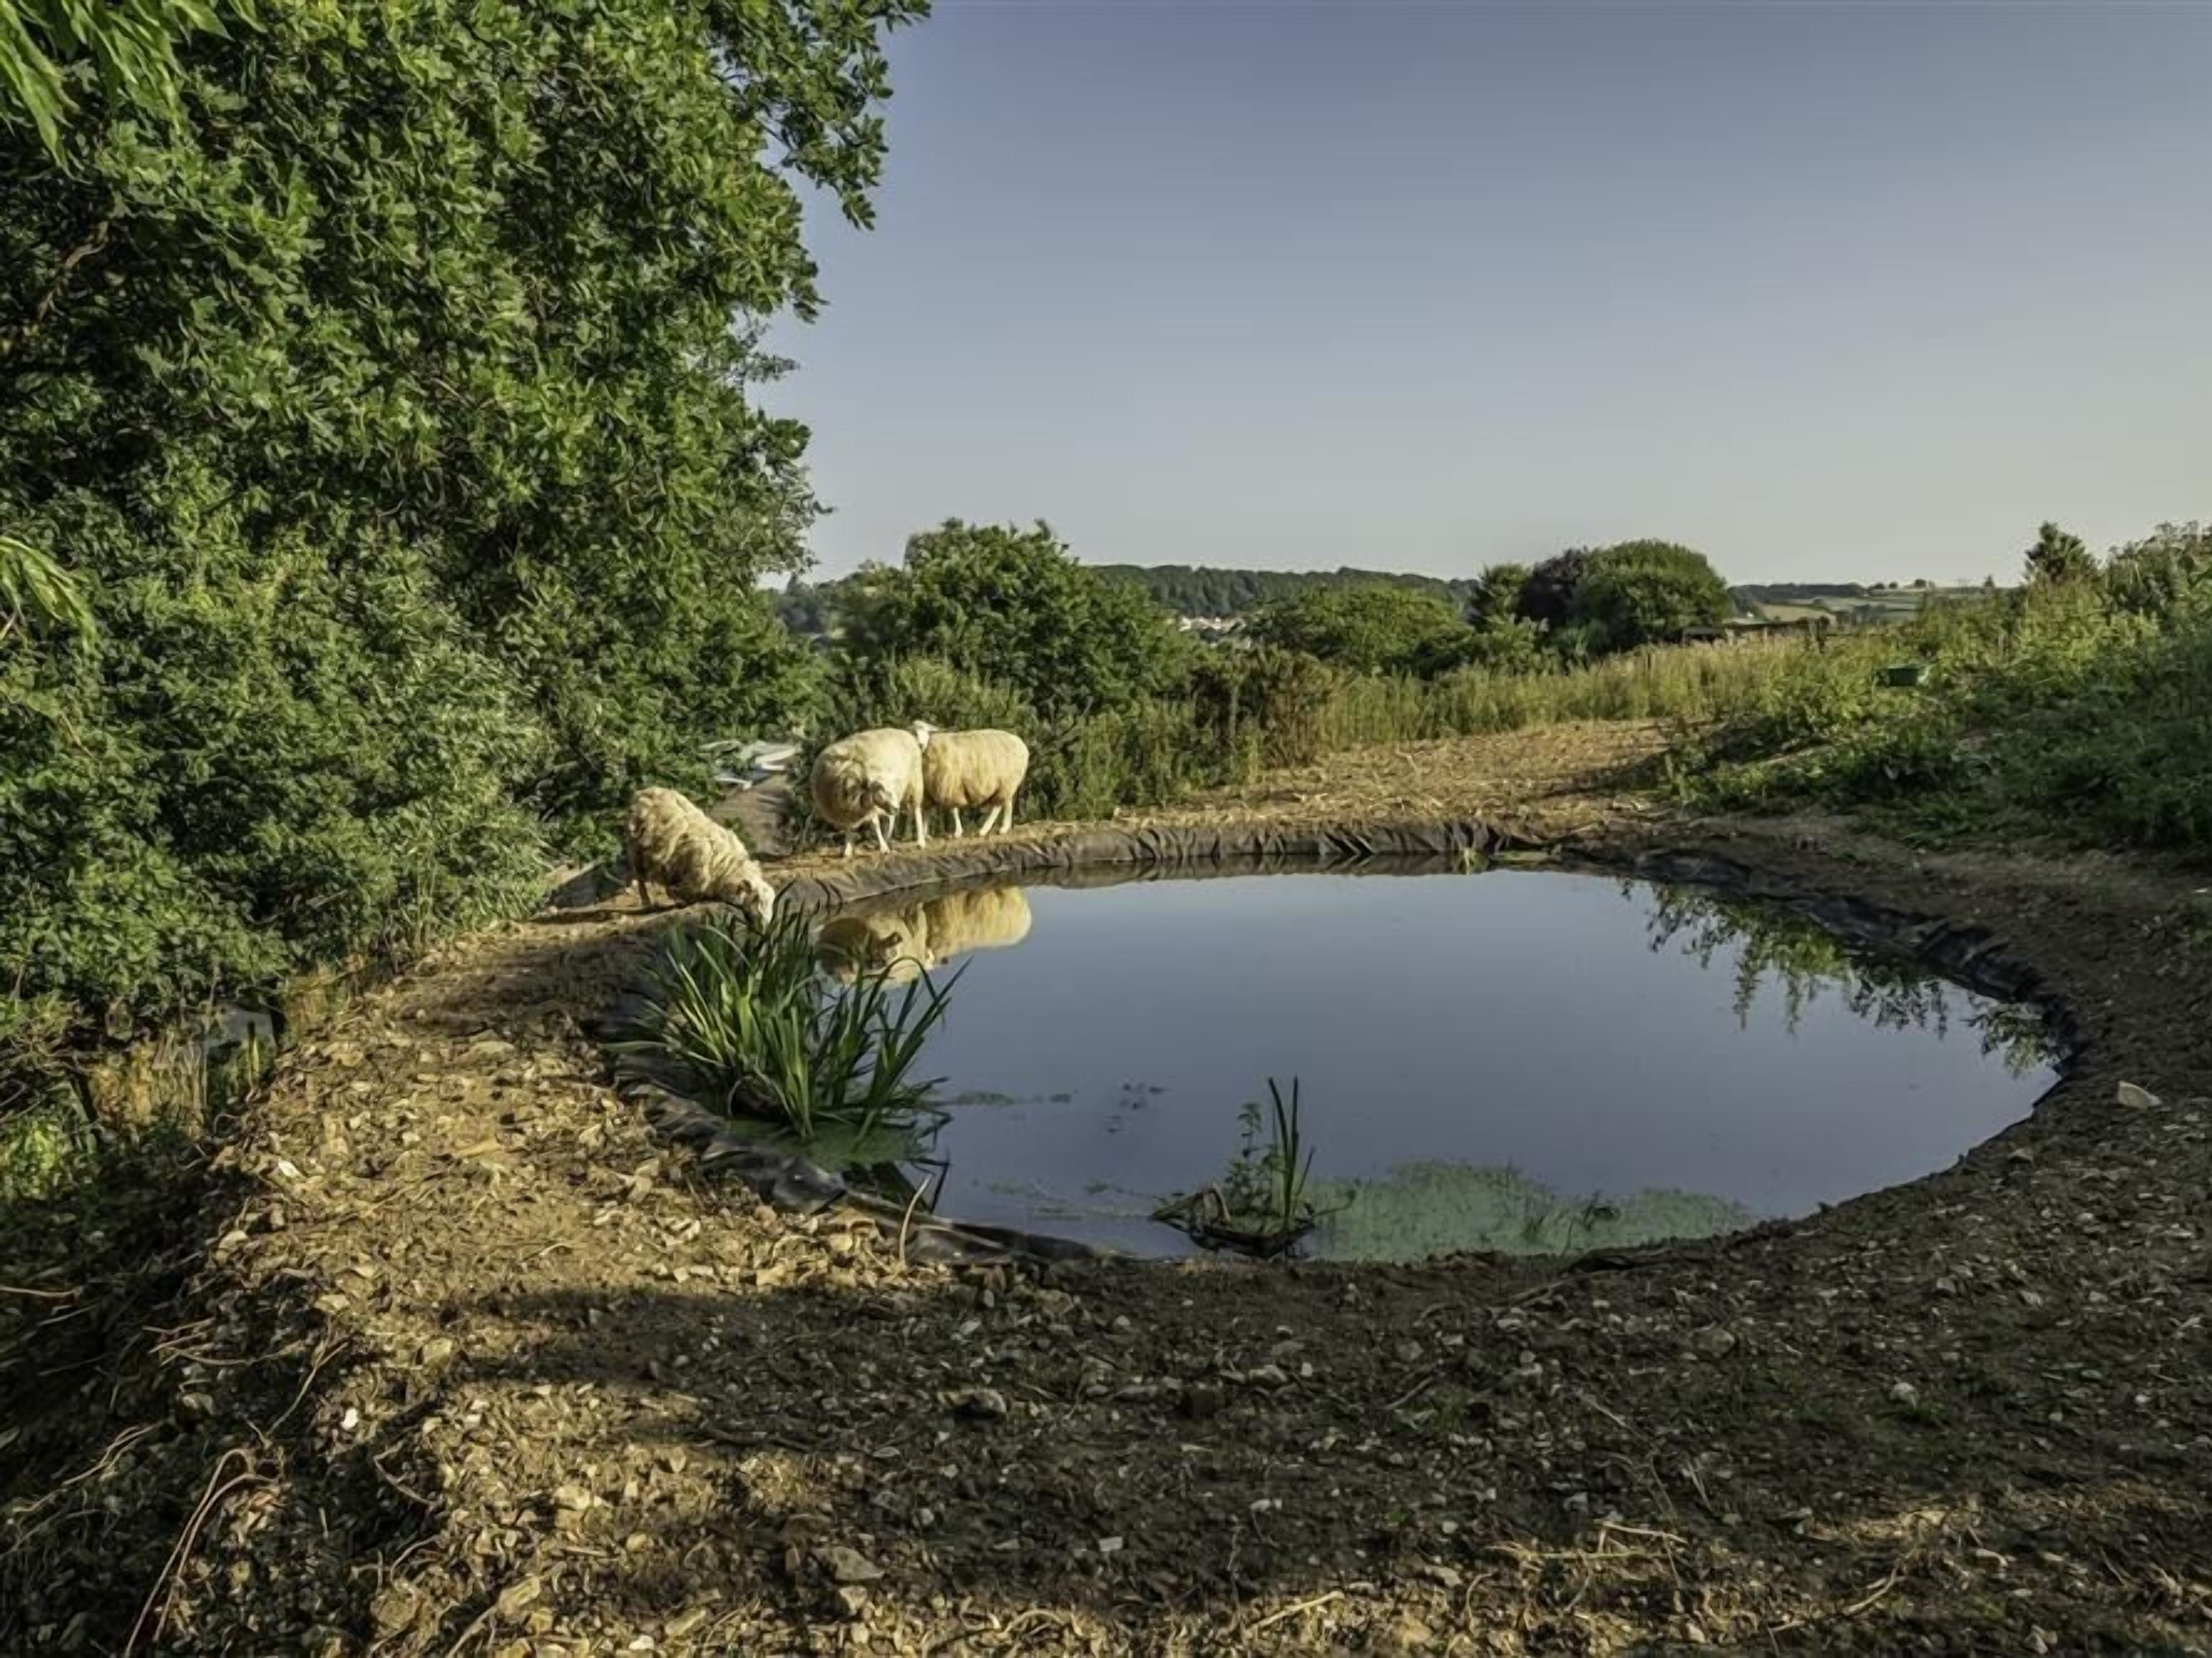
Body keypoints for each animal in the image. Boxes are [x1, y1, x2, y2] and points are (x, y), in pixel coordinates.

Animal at [622, 787, 776, 923]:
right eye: (758, 900)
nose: (765, 925)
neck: (726, 867)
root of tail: (644, 792)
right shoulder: (697, 868)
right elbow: (694, 887)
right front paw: (677, 896)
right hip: (636, 849)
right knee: (641, 879)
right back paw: (648, 903)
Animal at [808, 726, 928, 857]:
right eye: (880, 788)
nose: (896, 808)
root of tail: (905, 733)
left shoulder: (870, 807)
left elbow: (875, 824)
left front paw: (883, 848)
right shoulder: (849, 809)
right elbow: (849, 827)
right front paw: (847, 850)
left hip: (915, 782)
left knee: (916, 810)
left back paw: (920, 842)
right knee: (891, 818)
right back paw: (888, 839)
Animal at [911, 722, 1030, 837]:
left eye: (927, 731)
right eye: (914, 733)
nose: (921, 744)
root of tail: (1022, 744)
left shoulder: (950, 786)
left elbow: (953, 810)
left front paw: (958, 832)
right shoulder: (929, 791)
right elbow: (927, 811)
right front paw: (925, 834)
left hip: (1007, 782)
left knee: (997, 807)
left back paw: (984, 831)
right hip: (1008, 783)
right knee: (1008, 803)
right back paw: (1004, 828)